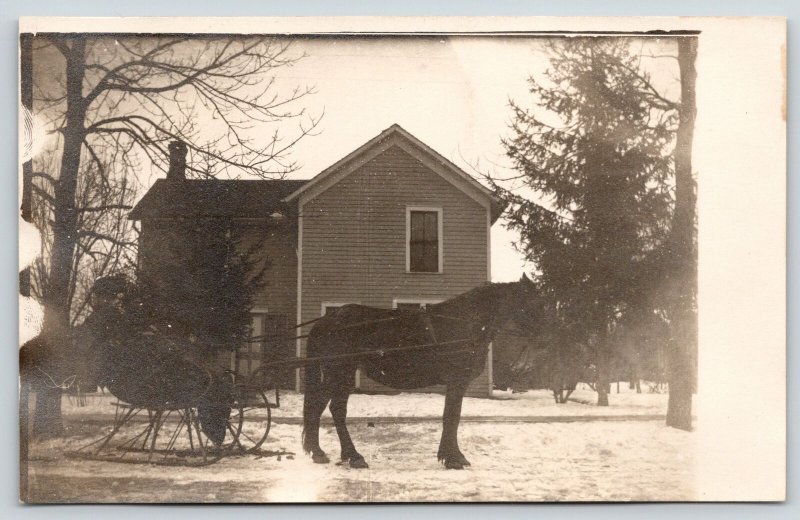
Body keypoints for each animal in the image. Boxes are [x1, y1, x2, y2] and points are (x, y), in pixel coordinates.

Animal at [304, 274, 540, 470]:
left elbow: (451, 416)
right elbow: (452, 416)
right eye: (533, 302)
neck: (464, 323)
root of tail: (327, 321)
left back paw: (321, 452)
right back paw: (352, 456)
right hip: (340, 371)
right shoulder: (457, 379)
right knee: (334, 409)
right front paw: (453, 458)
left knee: (320, 407)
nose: (544, 335)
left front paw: (452, 455)